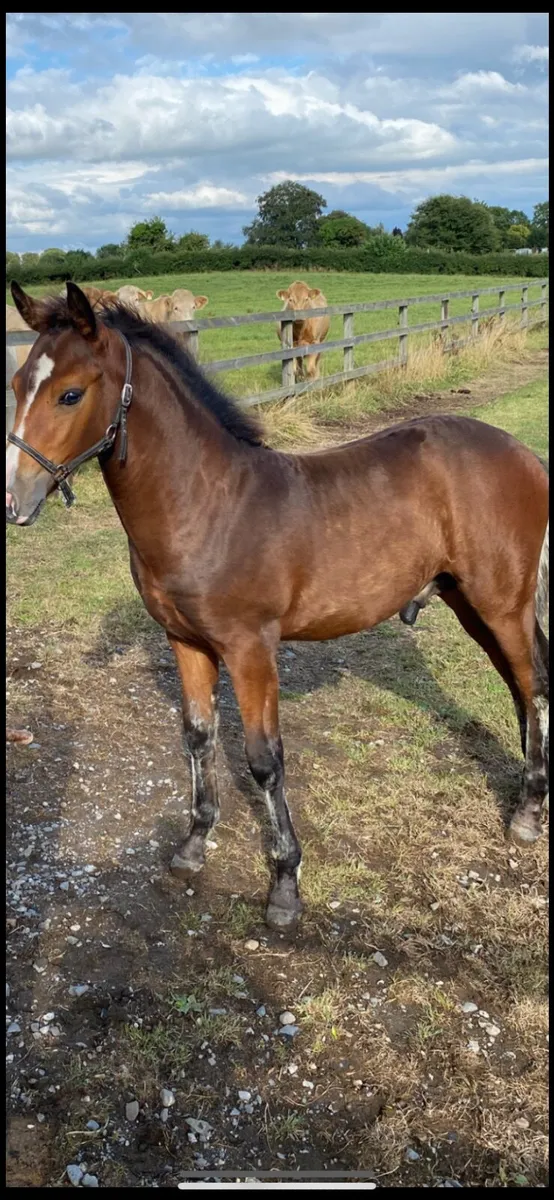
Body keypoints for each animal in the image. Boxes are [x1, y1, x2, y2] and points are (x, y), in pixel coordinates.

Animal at [6, 281, 549, 932]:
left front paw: (285, 886)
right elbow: (198, 736)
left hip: (503, 601)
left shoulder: (251, 648)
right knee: (520, 687)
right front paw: (193, 846)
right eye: (17, 384)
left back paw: (527, 815)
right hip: (471, 602)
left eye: (70, 393)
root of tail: (524, 455)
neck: (209, 504)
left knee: (533, 686)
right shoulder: (186, 643)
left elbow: (264, 759)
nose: (14, 502)